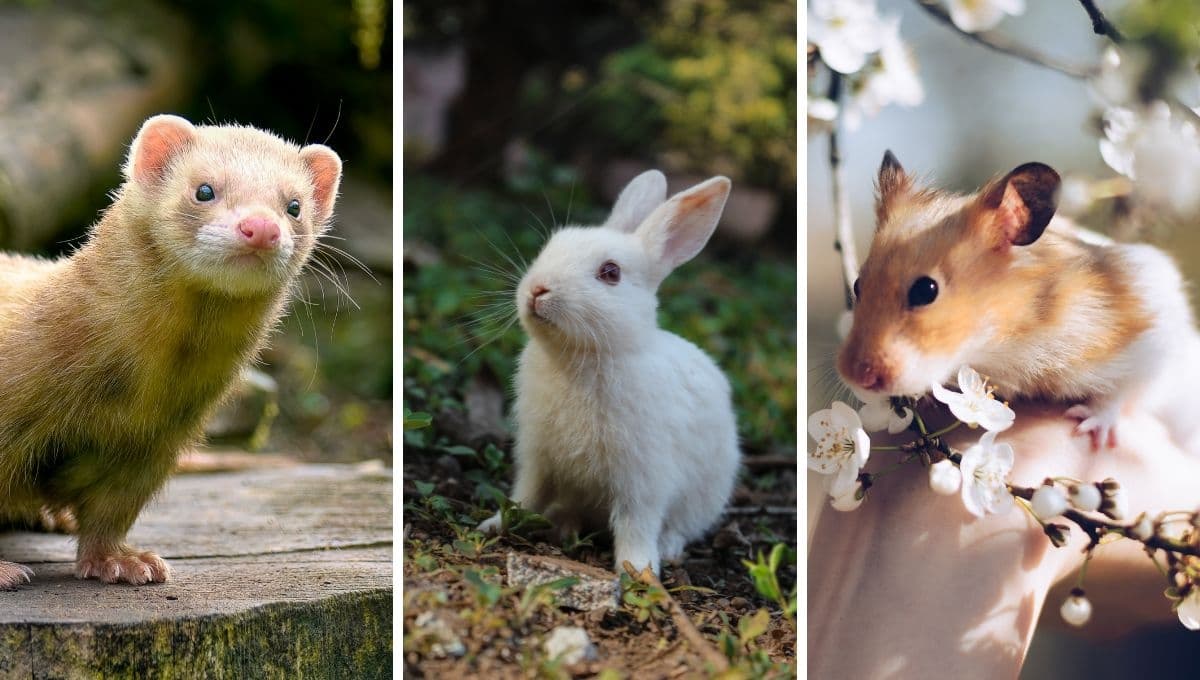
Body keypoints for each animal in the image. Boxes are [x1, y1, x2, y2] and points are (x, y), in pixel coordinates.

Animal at [478, 170, 741, 576]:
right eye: (550, 246)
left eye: (610, 273)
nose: (537, 289)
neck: (582, 357)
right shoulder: (538, 458)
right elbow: (525, 495)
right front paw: (494, 525)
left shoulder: (643, 478)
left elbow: (636, 523)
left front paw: (639, 570)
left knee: (680, 527)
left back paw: (667, 549)